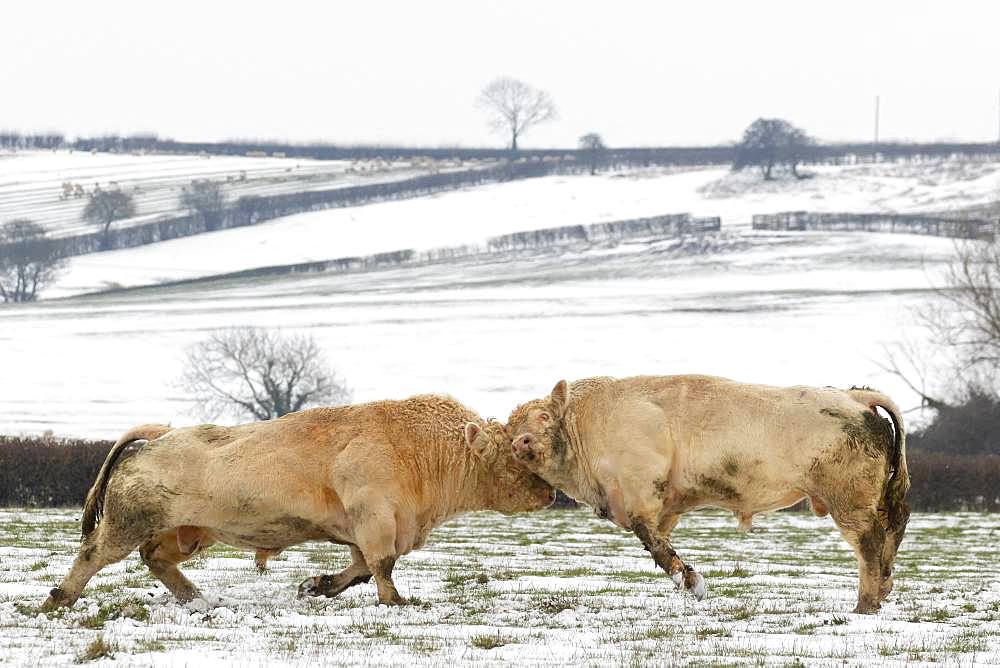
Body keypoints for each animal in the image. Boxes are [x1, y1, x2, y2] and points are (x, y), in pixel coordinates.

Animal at [43, 396, 556, 612]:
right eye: (517, 454)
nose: (550, 493)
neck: (422, 446)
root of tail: (160, 436)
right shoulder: (374, 516)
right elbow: (382, 565)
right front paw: (395, 602)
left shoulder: (363, 528)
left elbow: (361, 568)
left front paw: (318, 586)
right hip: (127, 523)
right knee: (92, 554)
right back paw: (60, 597)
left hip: (187, 532)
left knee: (156, 560)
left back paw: (196, 597)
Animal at [512, 374, 912, 612]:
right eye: (514, 425)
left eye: (544, 417)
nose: (522, 442)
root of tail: (854, 398)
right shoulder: (665, 507)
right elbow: (658, 540)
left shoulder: (641, 494)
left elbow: (652, 539)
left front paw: (692, 582)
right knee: (892, 533)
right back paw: (883, 590)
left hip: (849, 502)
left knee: (870, 544)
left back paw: (865, 604)